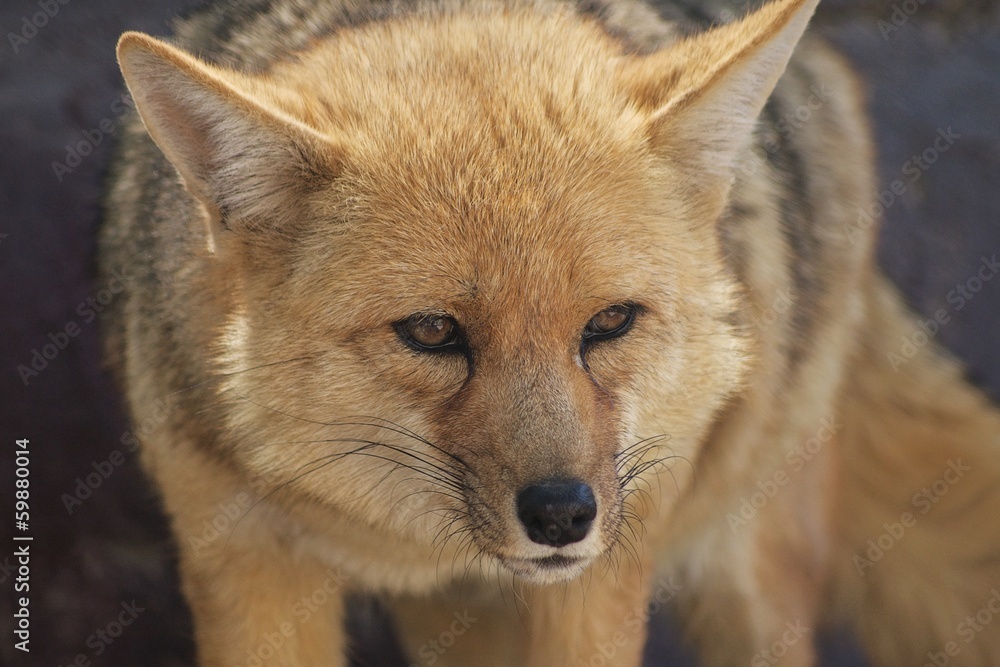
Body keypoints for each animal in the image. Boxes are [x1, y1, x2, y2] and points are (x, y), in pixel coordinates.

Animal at [99, 0, 1000, 664]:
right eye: (433, 331)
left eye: (610, 322)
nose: (563, 515)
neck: (419, 552)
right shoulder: (248, 567)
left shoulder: (599, 584)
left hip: (750, 564)